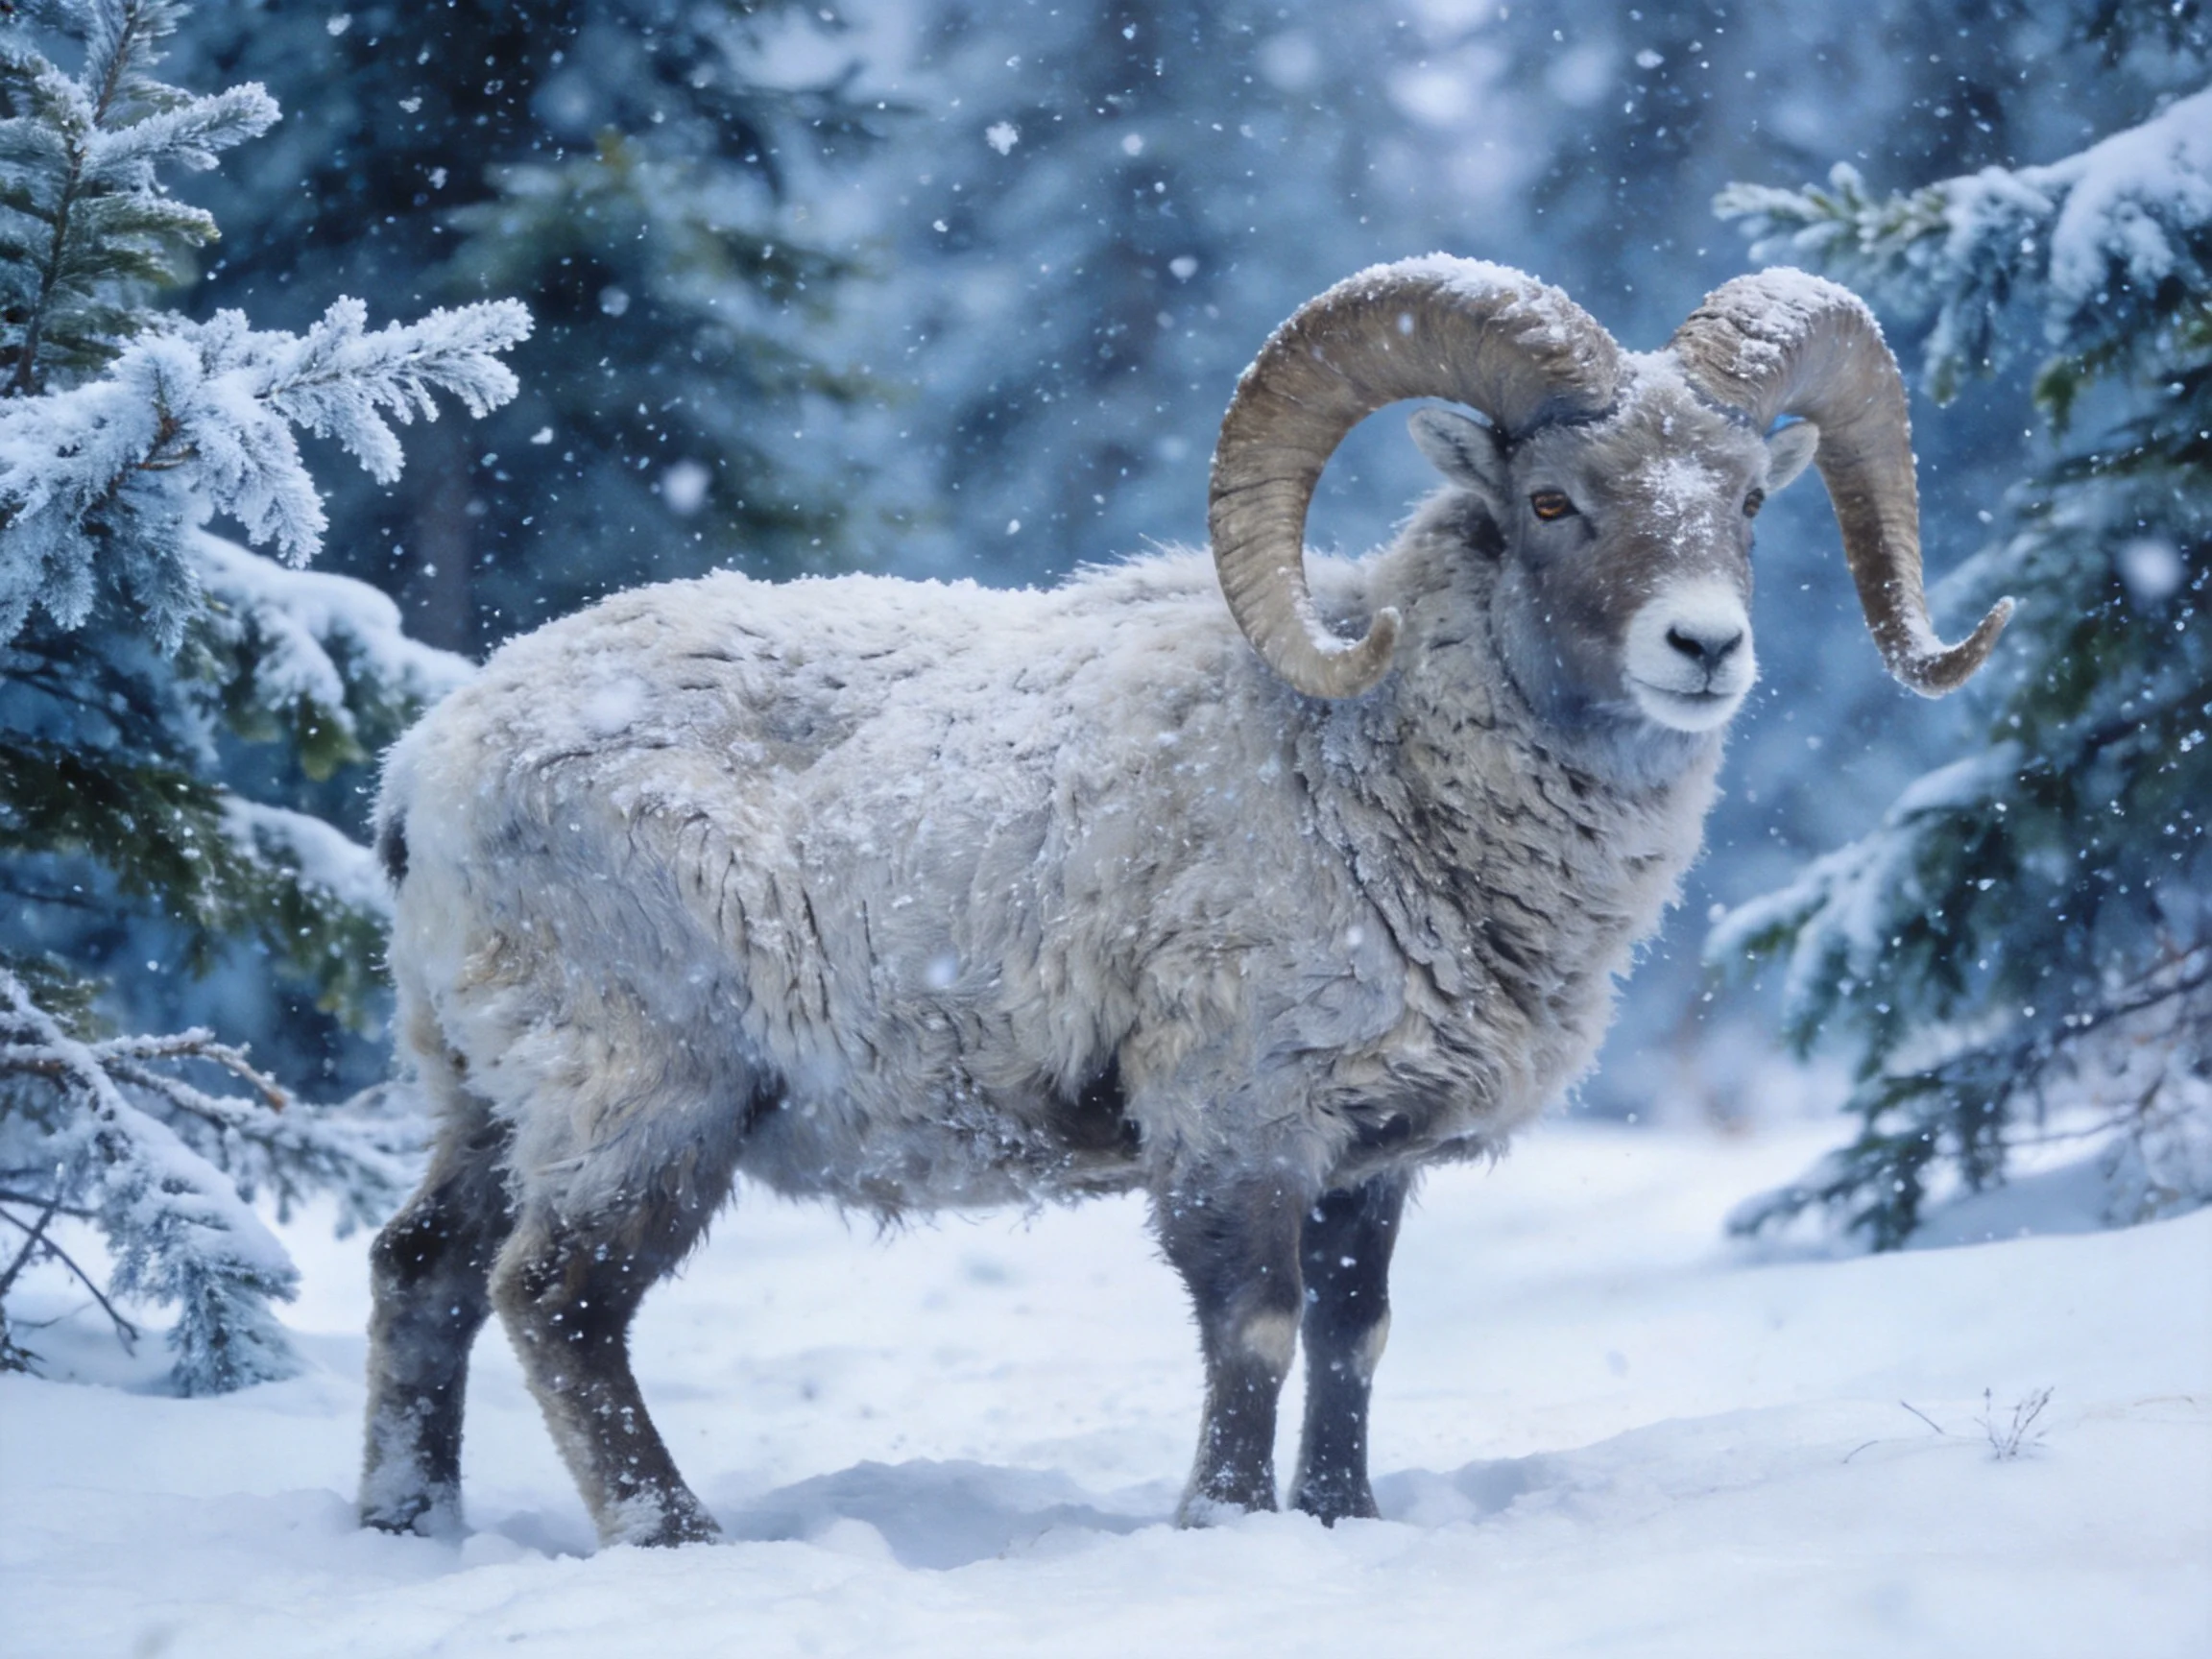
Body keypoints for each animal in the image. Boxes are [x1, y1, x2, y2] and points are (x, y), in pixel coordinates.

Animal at [357, 257, 2010, 1547]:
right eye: (1553, 499)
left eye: (1742, 504)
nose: (1704, 648)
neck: (1371, 761)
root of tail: (425, 766)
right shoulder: (1233, 1119)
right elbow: (1257, 1334)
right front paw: (1225, 1525)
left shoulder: (1369, 1154)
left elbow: (1353, 1339)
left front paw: (1342, 1523)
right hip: (646, 1091)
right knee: (557, 1302)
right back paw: (676, 1537)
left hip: (490, 1095)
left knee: (422, 1272)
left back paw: (407, 1525)